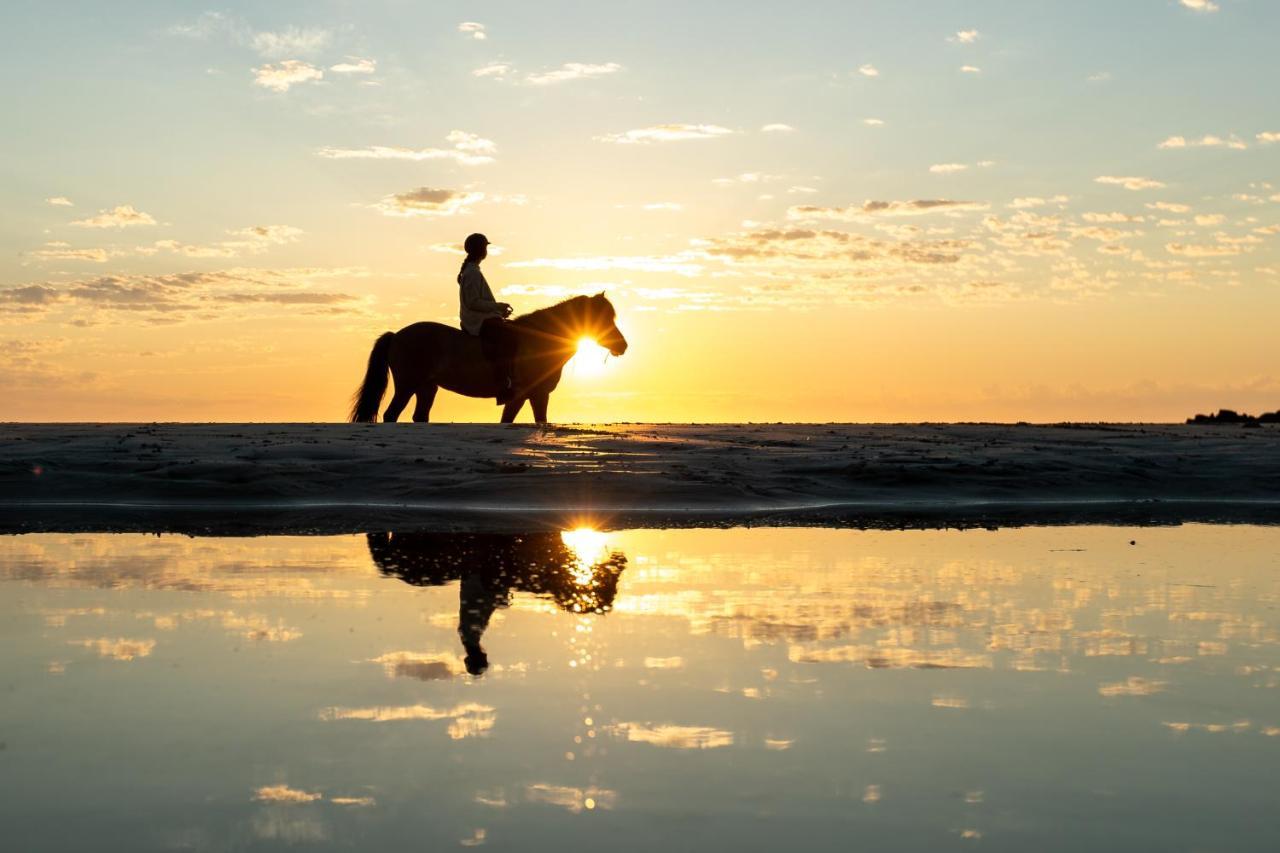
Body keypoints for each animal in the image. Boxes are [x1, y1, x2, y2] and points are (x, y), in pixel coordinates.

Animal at [350, 292, 629, 425]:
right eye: (602, 318)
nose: (622, 346)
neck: (539, 341)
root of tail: (396, 335)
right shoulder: (523, 395)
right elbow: (508, 420)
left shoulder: (538, 395)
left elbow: (538, 420)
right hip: (407, 386)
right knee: (391, 415)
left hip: (427, 388)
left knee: (419, 417)